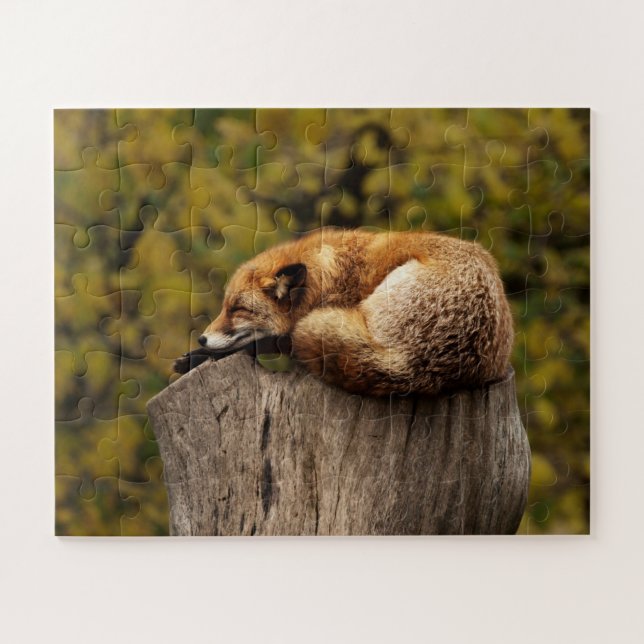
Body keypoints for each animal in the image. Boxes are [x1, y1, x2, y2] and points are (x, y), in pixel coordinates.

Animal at [174, 227, 514, 396]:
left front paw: (197, 357)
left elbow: (265, 342)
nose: (202, 338)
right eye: (224, 307)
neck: (330, 278)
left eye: (238, 309)